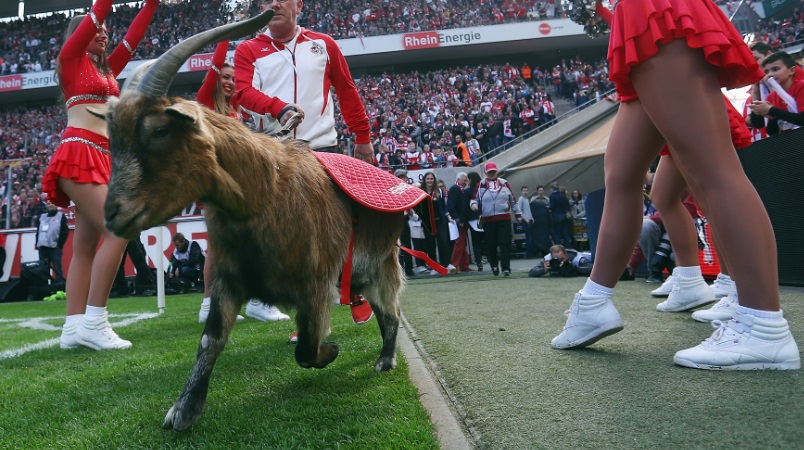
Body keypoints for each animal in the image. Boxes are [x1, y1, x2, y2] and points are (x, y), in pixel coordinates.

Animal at [92, 10, 412, 430]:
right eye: (112, 140)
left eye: (159, 130)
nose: (113, 215)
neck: (264, 192)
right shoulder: (228, 277)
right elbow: (210, 339)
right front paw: (185, 407)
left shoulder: (316, 283)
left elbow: (307, 348)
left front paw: (331, 349)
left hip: (380, 263)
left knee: (391, 312)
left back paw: (385, 359)